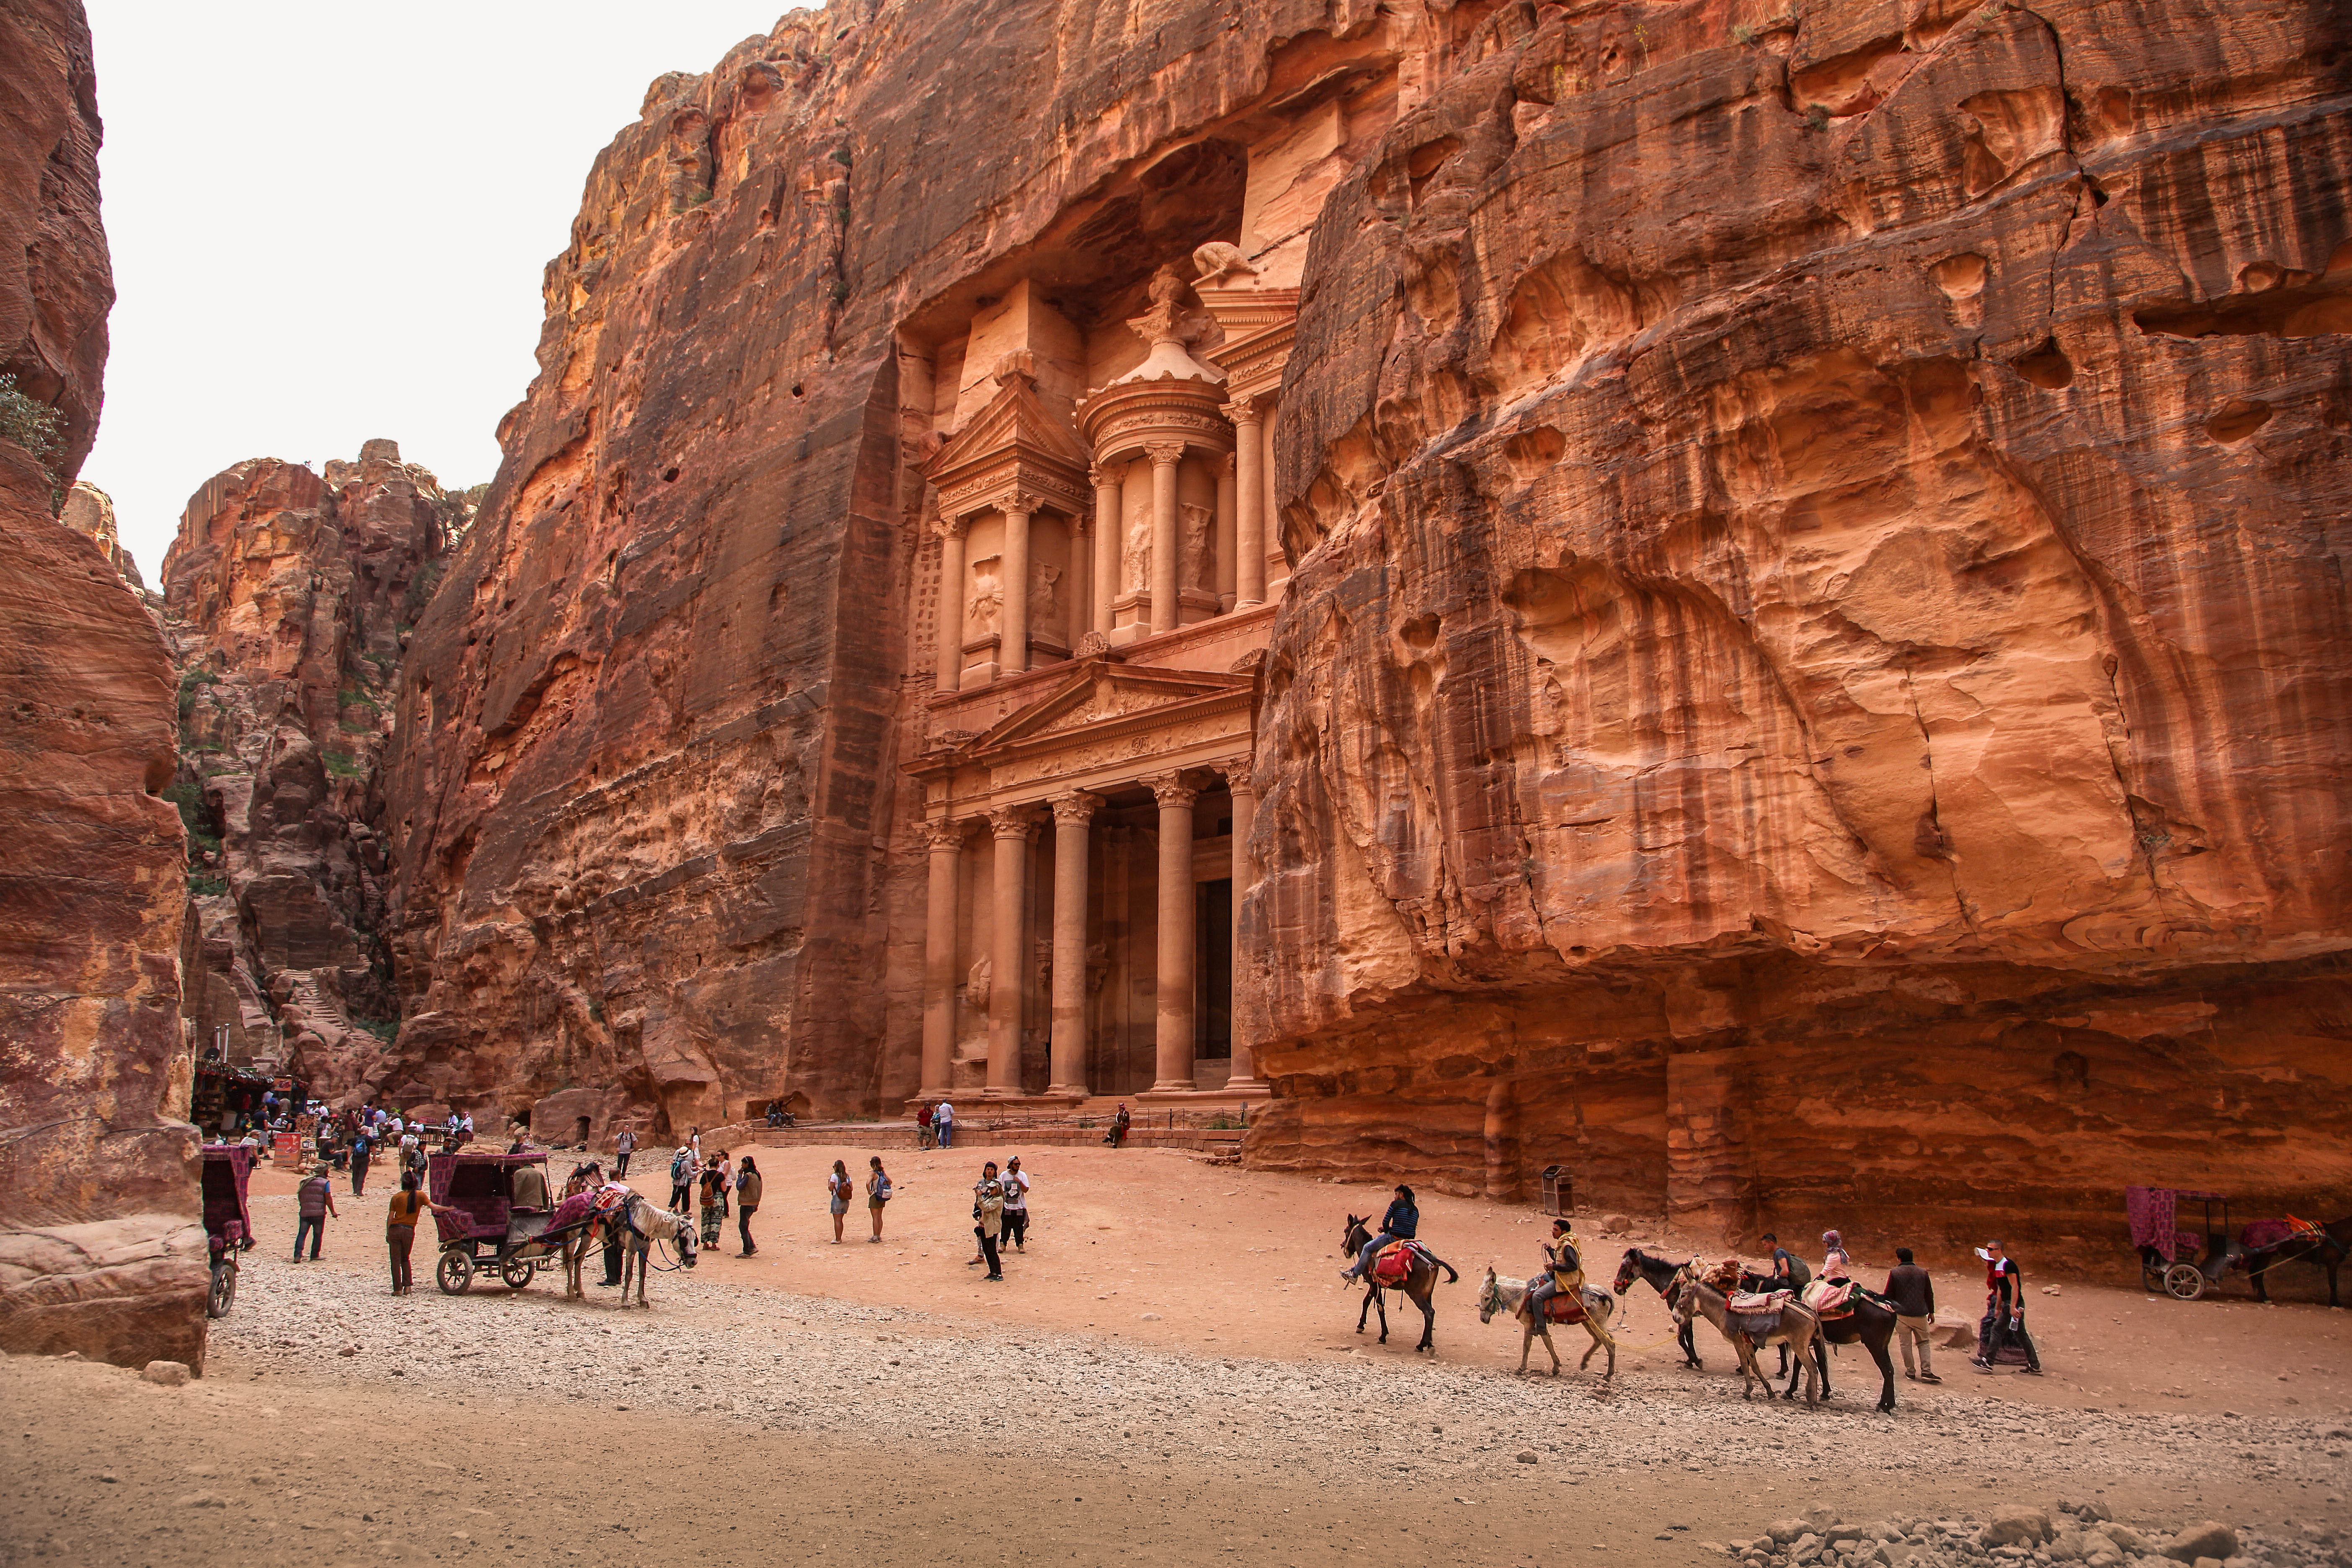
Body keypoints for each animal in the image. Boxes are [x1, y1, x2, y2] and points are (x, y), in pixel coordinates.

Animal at [616, 1194, 696, 1307]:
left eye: (695, 1240)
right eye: (684, 1240)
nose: (694, 1261)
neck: (642, 1220)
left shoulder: (645, 1249)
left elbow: (642, 1273)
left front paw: (643, 1298)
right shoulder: (631, 1250)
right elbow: (629, 1275)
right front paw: (625, 1301)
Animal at [1345, 1222, 1449, 1354]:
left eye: (1346, 1231)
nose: (1344, 1248)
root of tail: (1432, 1261)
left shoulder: (1374, 1284)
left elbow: (1379, 1307)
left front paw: (1383, 1336)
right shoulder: (1375, 1285)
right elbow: (1367, 1302)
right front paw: (1361, 1325)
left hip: (1415, 1293)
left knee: (1429, 1312)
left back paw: (1421, 1345)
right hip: (1428, 1292)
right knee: (1431, 1312)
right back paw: (1429, 1344)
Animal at [1486, 1269, 1618, 1382]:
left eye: (1486, 1298)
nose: (1483, 1319)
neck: (1522, 1296)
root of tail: (1605, 1295)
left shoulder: (1529, 1325)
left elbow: (1527, 1346)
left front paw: (1521, 1369)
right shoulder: (1539, 1324)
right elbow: (1548, 1343)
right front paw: (1556, 1367)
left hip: (1596, 1323)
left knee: (1610, 1344)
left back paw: (1608, 1375)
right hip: (1588, 1323)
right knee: (1599, 1340)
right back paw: (1585, 1363)